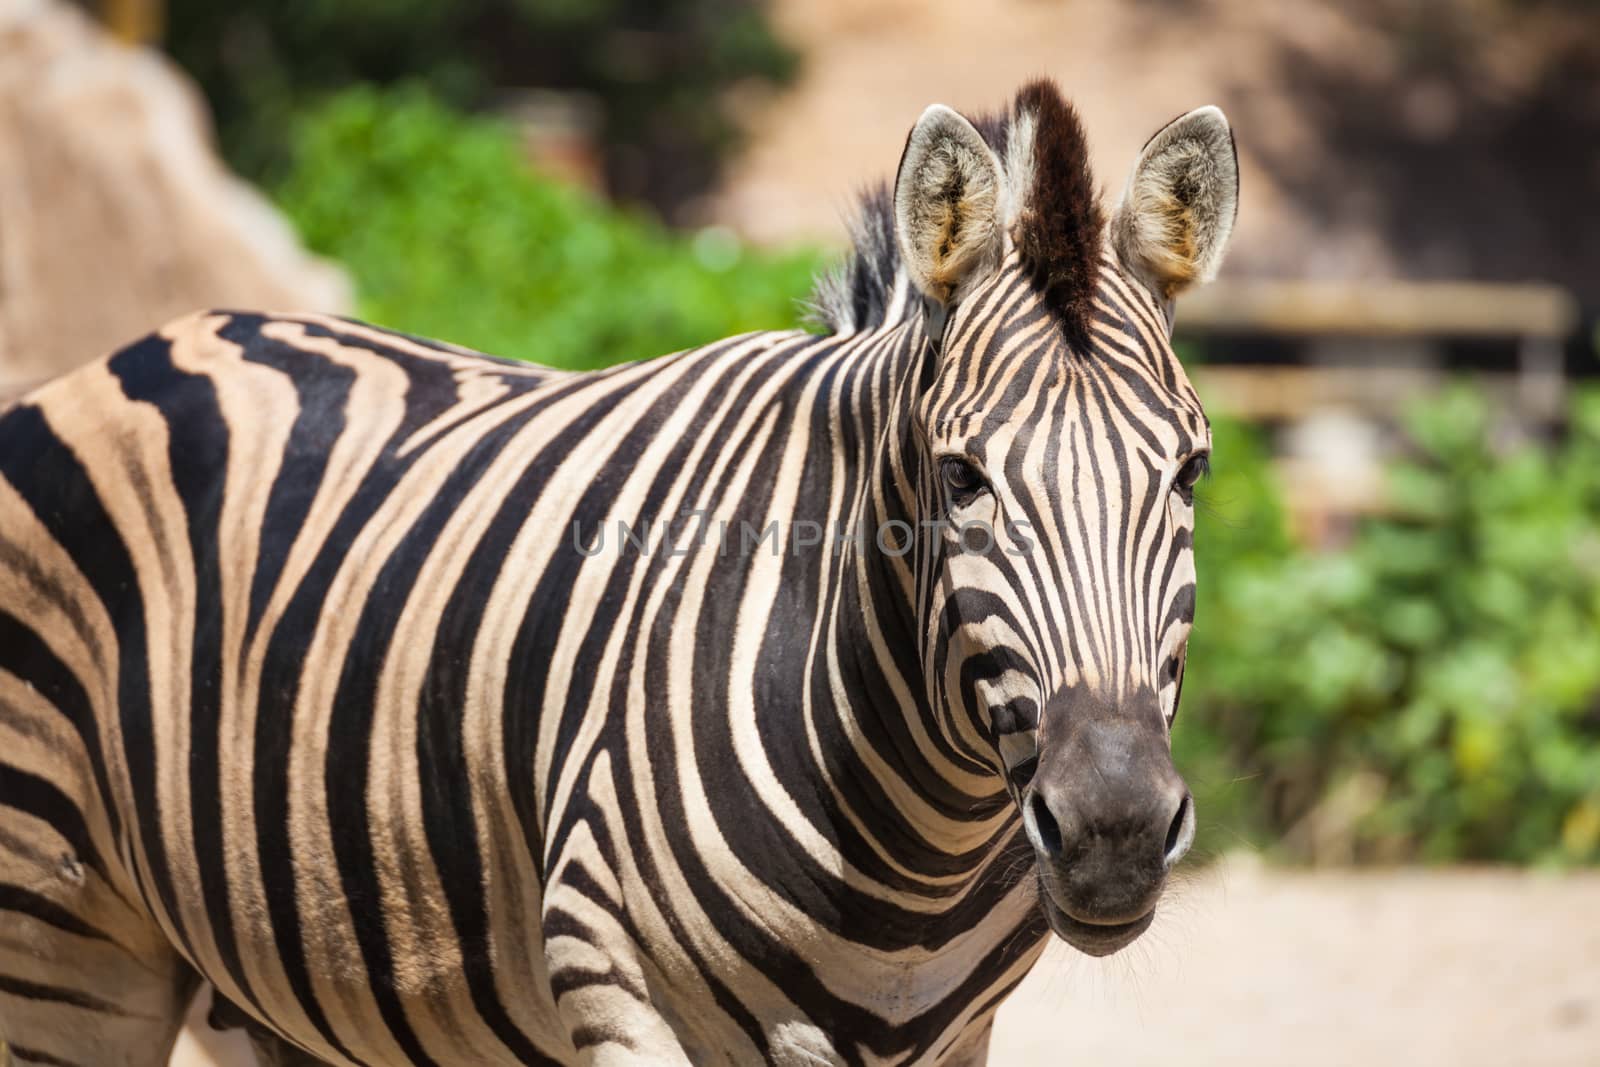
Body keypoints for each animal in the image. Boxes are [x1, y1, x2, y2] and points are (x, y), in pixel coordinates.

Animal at [0, 77, 1235, 1067]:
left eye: (1192, 470)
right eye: (960, 476)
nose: (1114, 831)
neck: (908, 857)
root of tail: (161, 339)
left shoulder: (952, 1037)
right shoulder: (620, 990)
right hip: (63, 937)